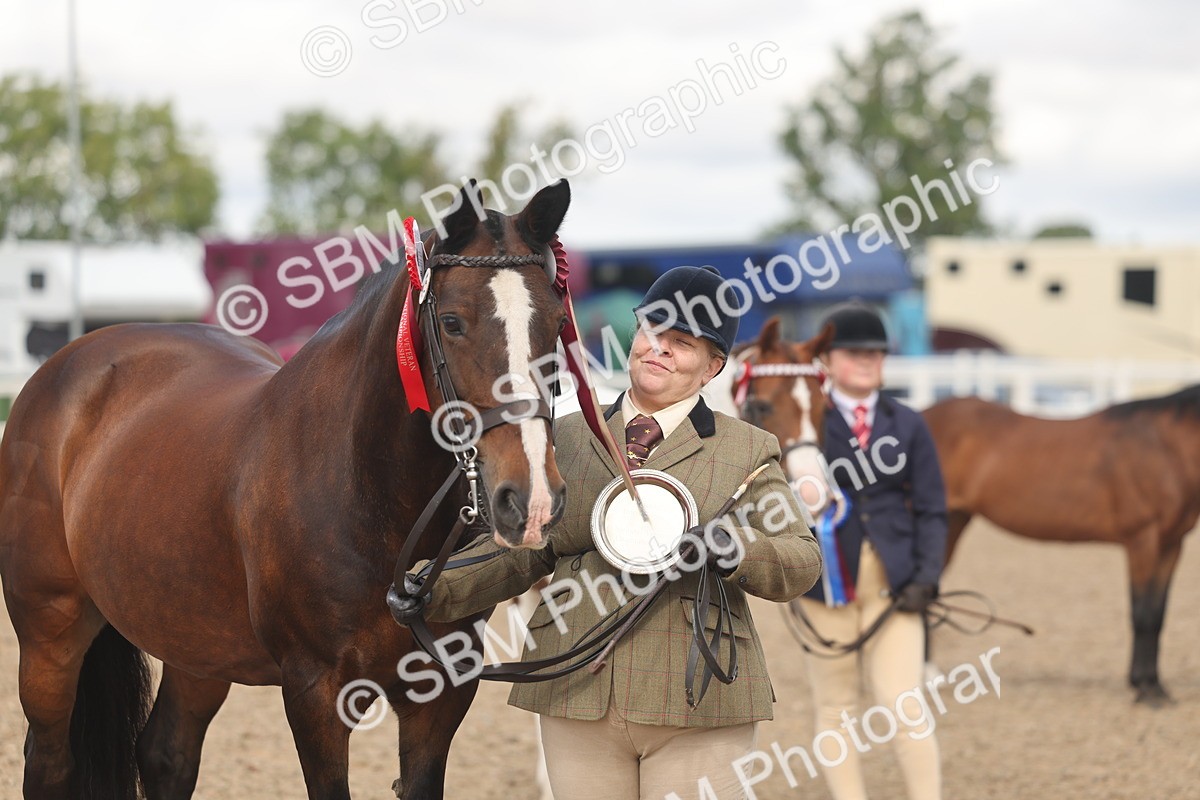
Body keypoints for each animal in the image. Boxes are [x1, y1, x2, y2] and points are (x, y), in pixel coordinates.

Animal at [0, 179, 572, 799]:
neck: (364, 492)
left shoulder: (440, 693)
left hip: (197, 645)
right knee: (50, 762)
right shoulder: (314, 694)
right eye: (451, 322)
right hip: (50, 633)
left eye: (555, 322)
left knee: (165, 753)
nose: (532, 501)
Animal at [923, 390, 1200, 704]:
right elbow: (1142, 613)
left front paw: (1155, 686)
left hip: (954, 521)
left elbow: (1158, 614)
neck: (1165, 446)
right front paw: (1145, 691)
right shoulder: (1144, 541)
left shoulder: (1171, 545)